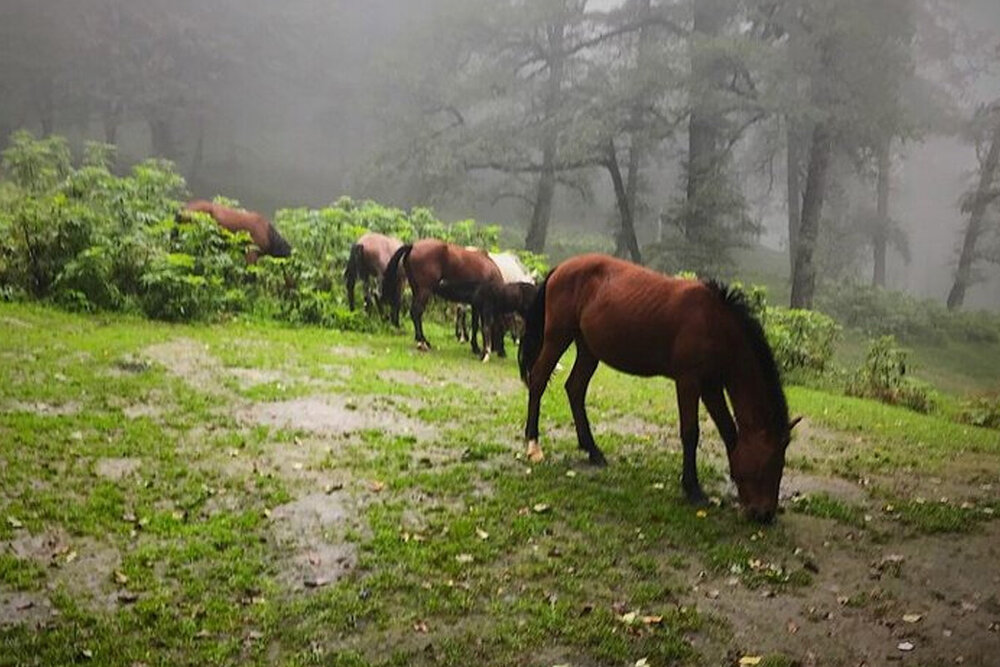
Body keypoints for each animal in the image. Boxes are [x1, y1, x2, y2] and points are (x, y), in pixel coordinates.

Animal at [520, 254, 800, 520]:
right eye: (770, 461)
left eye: (781, 462)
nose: (765, 514)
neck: (715, 323)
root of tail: (561, 268)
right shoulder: (689, 381)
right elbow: (691, 433)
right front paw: (693, 489)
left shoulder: (711, 386)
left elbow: (728, 431)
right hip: (557, 337)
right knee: (538, 380)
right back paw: (533, 444)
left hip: (588, 349)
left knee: (575, 389)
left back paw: (592, 450)